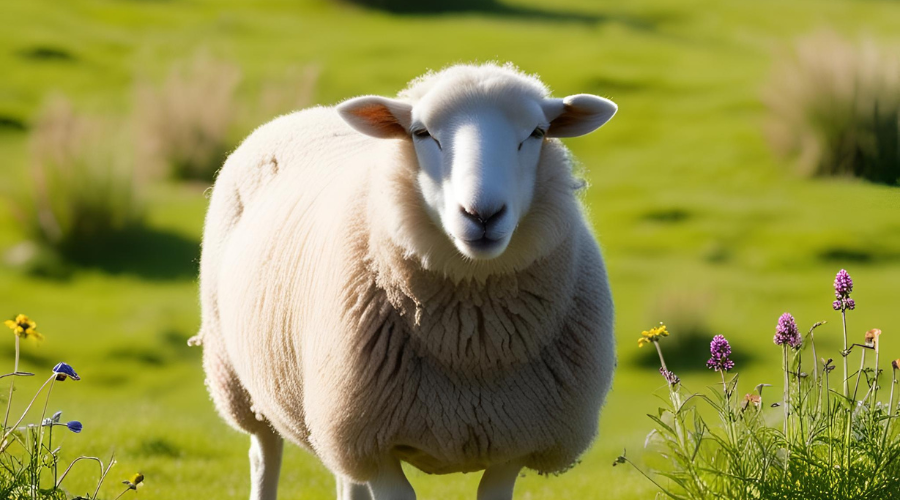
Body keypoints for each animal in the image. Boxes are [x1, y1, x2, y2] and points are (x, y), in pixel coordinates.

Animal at [194, 62, 617, 500]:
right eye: (421, 133)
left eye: (536, 133)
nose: (482, 215)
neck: (472, 343)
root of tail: (303, 114)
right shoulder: (372, 441)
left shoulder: (515, 442)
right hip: (244, 381)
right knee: (264, 453)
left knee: (346, 478)